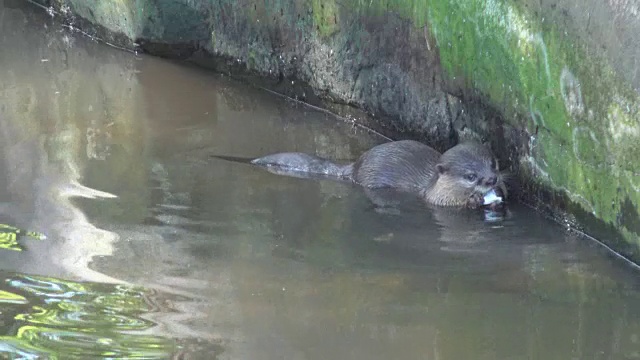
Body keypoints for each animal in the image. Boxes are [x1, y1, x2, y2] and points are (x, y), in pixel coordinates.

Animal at [249, 140, 504, 208]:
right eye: (470, 176)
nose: (492, 179)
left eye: (493, 163)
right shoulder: (433, 197)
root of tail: (355, 167)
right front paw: (475, 199)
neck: (433, 184)